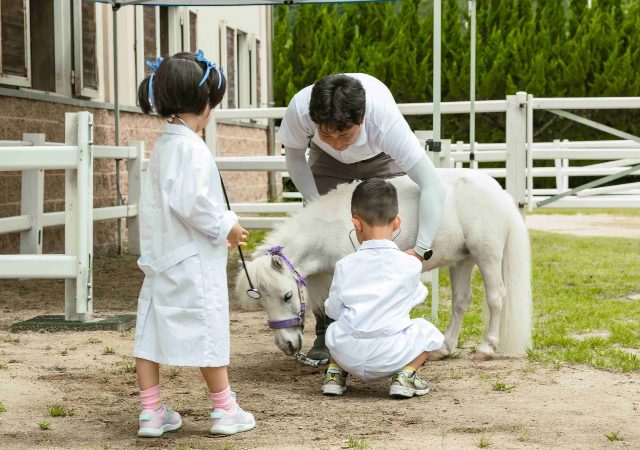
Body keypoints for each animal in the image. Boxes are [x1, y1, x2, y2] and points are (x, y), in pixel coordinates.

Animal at [232, 171, 532, 362]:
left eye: (287, 296)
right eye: (262, 302)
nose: (286, 345)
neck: (328, 229)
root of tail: (499, 192)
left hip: (487, 254)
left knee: (496, 298)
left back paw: (486, 348)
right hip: (462, 259)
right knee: (461, 301)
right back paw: (443, 349)